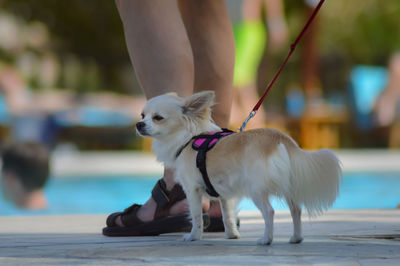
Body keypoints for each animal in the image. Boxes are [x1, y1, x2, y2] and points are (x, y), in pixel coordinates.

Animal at [136, 91, 342, 245]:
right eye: (142, 115)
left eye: (158, 118)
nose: (138, 124)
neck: (188, 138)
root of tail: (280, 139)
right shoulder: (222, 193)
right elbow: (227, 215)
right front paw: (231, 235)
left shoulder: (192, 189)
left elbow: (196, 216)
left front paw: (193, 236)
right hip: (288, 187)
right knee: (296, 210)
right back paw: (296, 238)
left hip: (256, 189)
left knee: (270, 211)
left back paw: (266, 240)